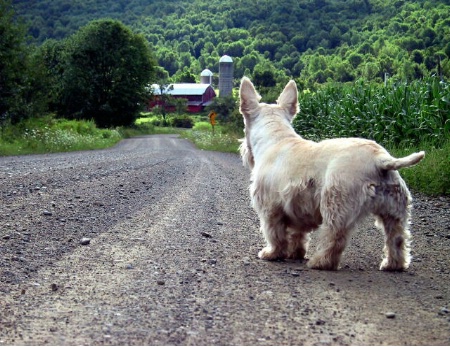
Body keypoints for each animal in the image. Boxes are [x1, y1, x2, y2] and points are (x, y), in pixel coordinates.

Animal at [239, 78, 426, 272]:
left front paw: (272, 253)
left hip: (336, 204)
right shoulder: (298, 208)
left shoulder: (269, 209)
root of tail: (380, 159)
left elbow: (275, 234)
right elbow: (298, 235)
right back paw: (393, 265)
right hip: (395, 212)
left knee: (334, 238)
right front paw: (295, 253)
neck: (276, 137)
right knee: (397, 239)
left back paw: (319, 262)